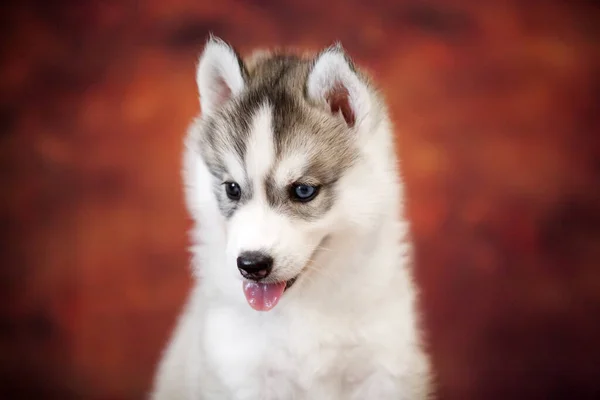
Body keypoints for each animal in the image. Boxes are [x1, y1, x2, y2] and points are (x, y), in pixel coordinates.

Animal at [150, 36, 432, 398]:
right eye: (232, 189)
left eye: (303, 191)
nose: (251, 264)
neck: (300, 305)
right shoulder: (240, 370)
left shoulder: (384, 366)